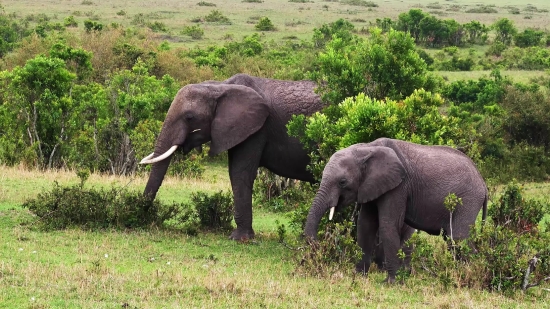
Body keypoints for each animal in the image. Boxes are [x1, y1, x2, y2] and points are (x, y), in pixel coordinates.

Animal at [140, 73, 326, 239]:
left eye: (189, 117)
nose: (141, 213)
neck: (220, 86)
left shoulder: (256, 128)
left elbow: (239, 172)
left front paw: (240, 238)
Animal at [304, 137, 490, 282]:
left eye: (342, 182)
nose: (318, 244)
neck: (366, 148)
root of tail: (483, 183)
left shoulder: (399, 186)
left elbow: (388, 225)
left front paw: (390, 282)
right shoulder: (372, 186)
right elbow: (365, 226)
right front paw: (358, 276)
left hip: (468, 199)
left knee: (458, 237)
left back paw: (469, 277)